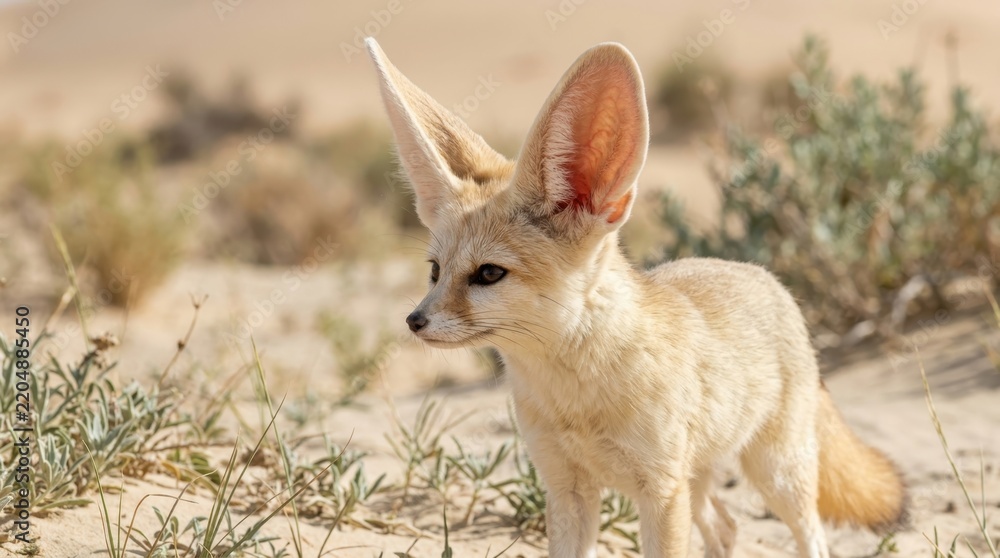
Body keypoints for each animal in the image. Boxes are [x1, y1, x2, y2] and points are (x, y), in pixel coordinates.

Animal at [365, 38, 906, 558]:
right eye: (435, 271)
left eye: (489, 274)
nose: (414, 321)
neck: (576, 399)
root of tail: (765, 276)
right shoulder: (568, 489)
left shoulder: (660, 491)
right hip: (699, 483)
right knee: (727, 528)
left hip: (772, 475)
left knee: (811, 535)